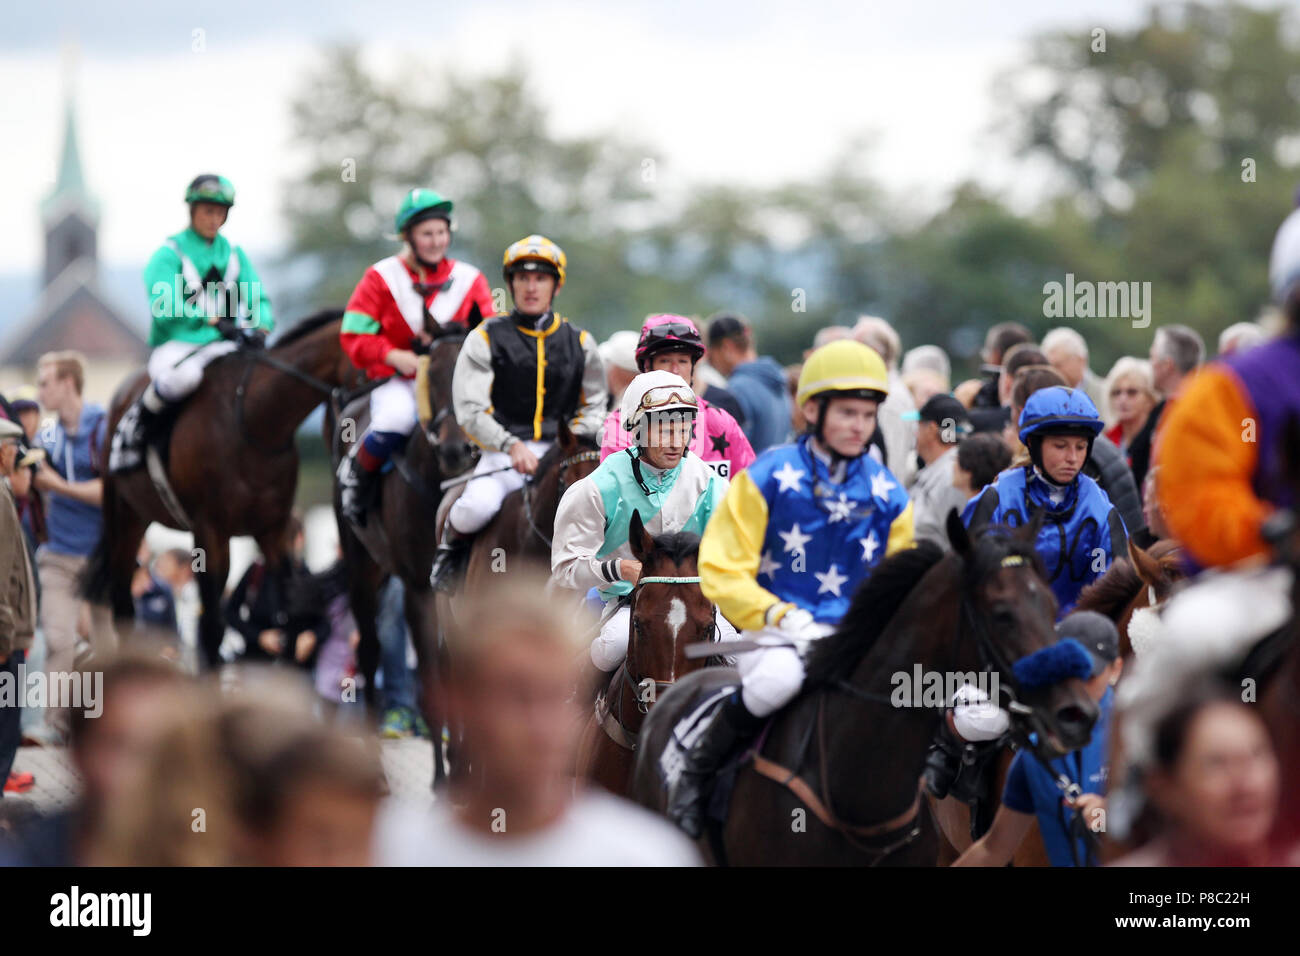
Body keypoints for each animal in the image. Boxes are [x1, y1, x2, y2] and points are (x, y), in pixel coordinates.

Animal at [84, 312, 361, 665]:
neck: (254, 422)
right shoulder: (210, 530)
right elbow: (212, 627)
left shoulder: (273, 529)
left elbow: (291, 618)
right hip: (123, 515)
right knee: (123, 606)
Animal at [330, 321, 478, 785]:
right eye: (433, 377)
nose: (457, 450)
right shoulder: (419, 588)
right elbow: (431, 678)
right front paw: (442, 778)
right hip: (362, 564)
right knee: (369, 651)